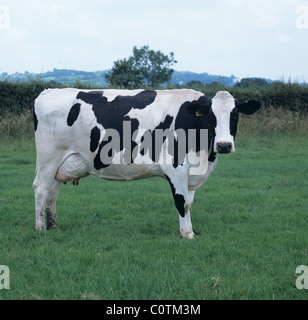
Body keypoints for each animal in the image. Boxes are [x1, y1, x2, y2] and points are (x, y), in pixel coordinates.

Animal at [33, 89, 260, 239]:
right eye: (211, 117)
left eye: (235, 115)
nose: (224, 145)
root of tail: (47, 92)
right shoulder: (175, 167)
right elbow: (181, 202)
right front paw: (187, 234)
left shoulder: (191, 174)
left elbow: (189, 203)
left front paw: (186, 230)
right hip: (48, 158)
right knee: (41, 189)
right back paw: (40, 228)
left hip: (62, 164)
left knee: (52, 193)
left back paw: (54, 226)